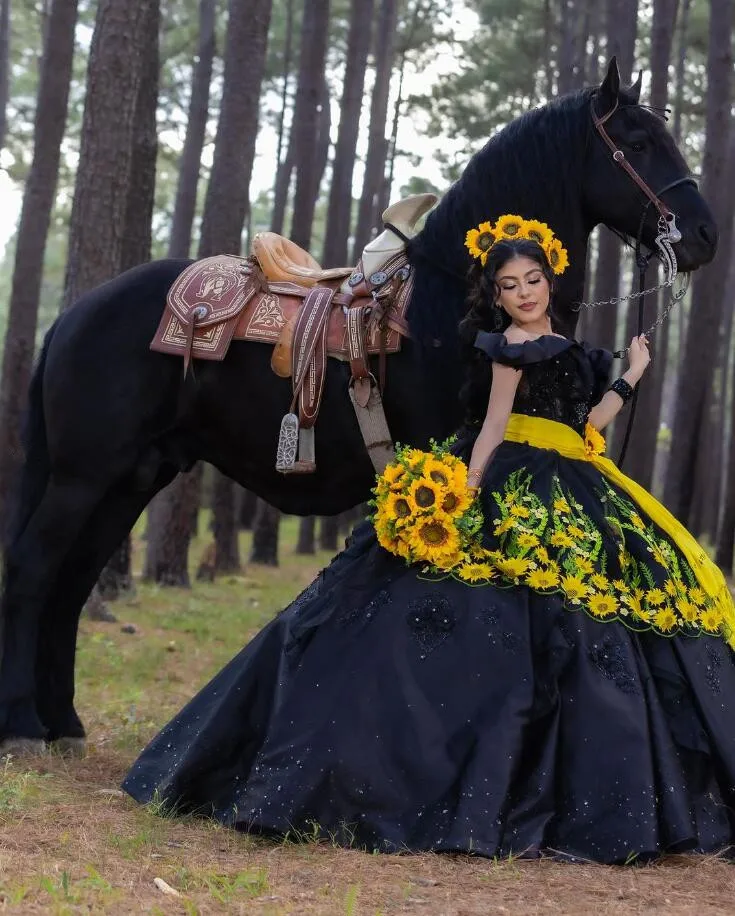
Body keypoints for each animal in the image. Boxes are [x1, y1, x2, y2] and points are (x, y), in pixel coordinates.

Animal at [0, 62, 720, 752]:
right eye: (636, 142)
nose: (705, 235)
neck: (452, 305)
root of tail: (75, 314)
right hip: (83, 475)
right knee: (36, 570)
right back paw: (27, 727)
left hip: (133, 478)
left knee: (73, 582)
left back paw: (64, 723)